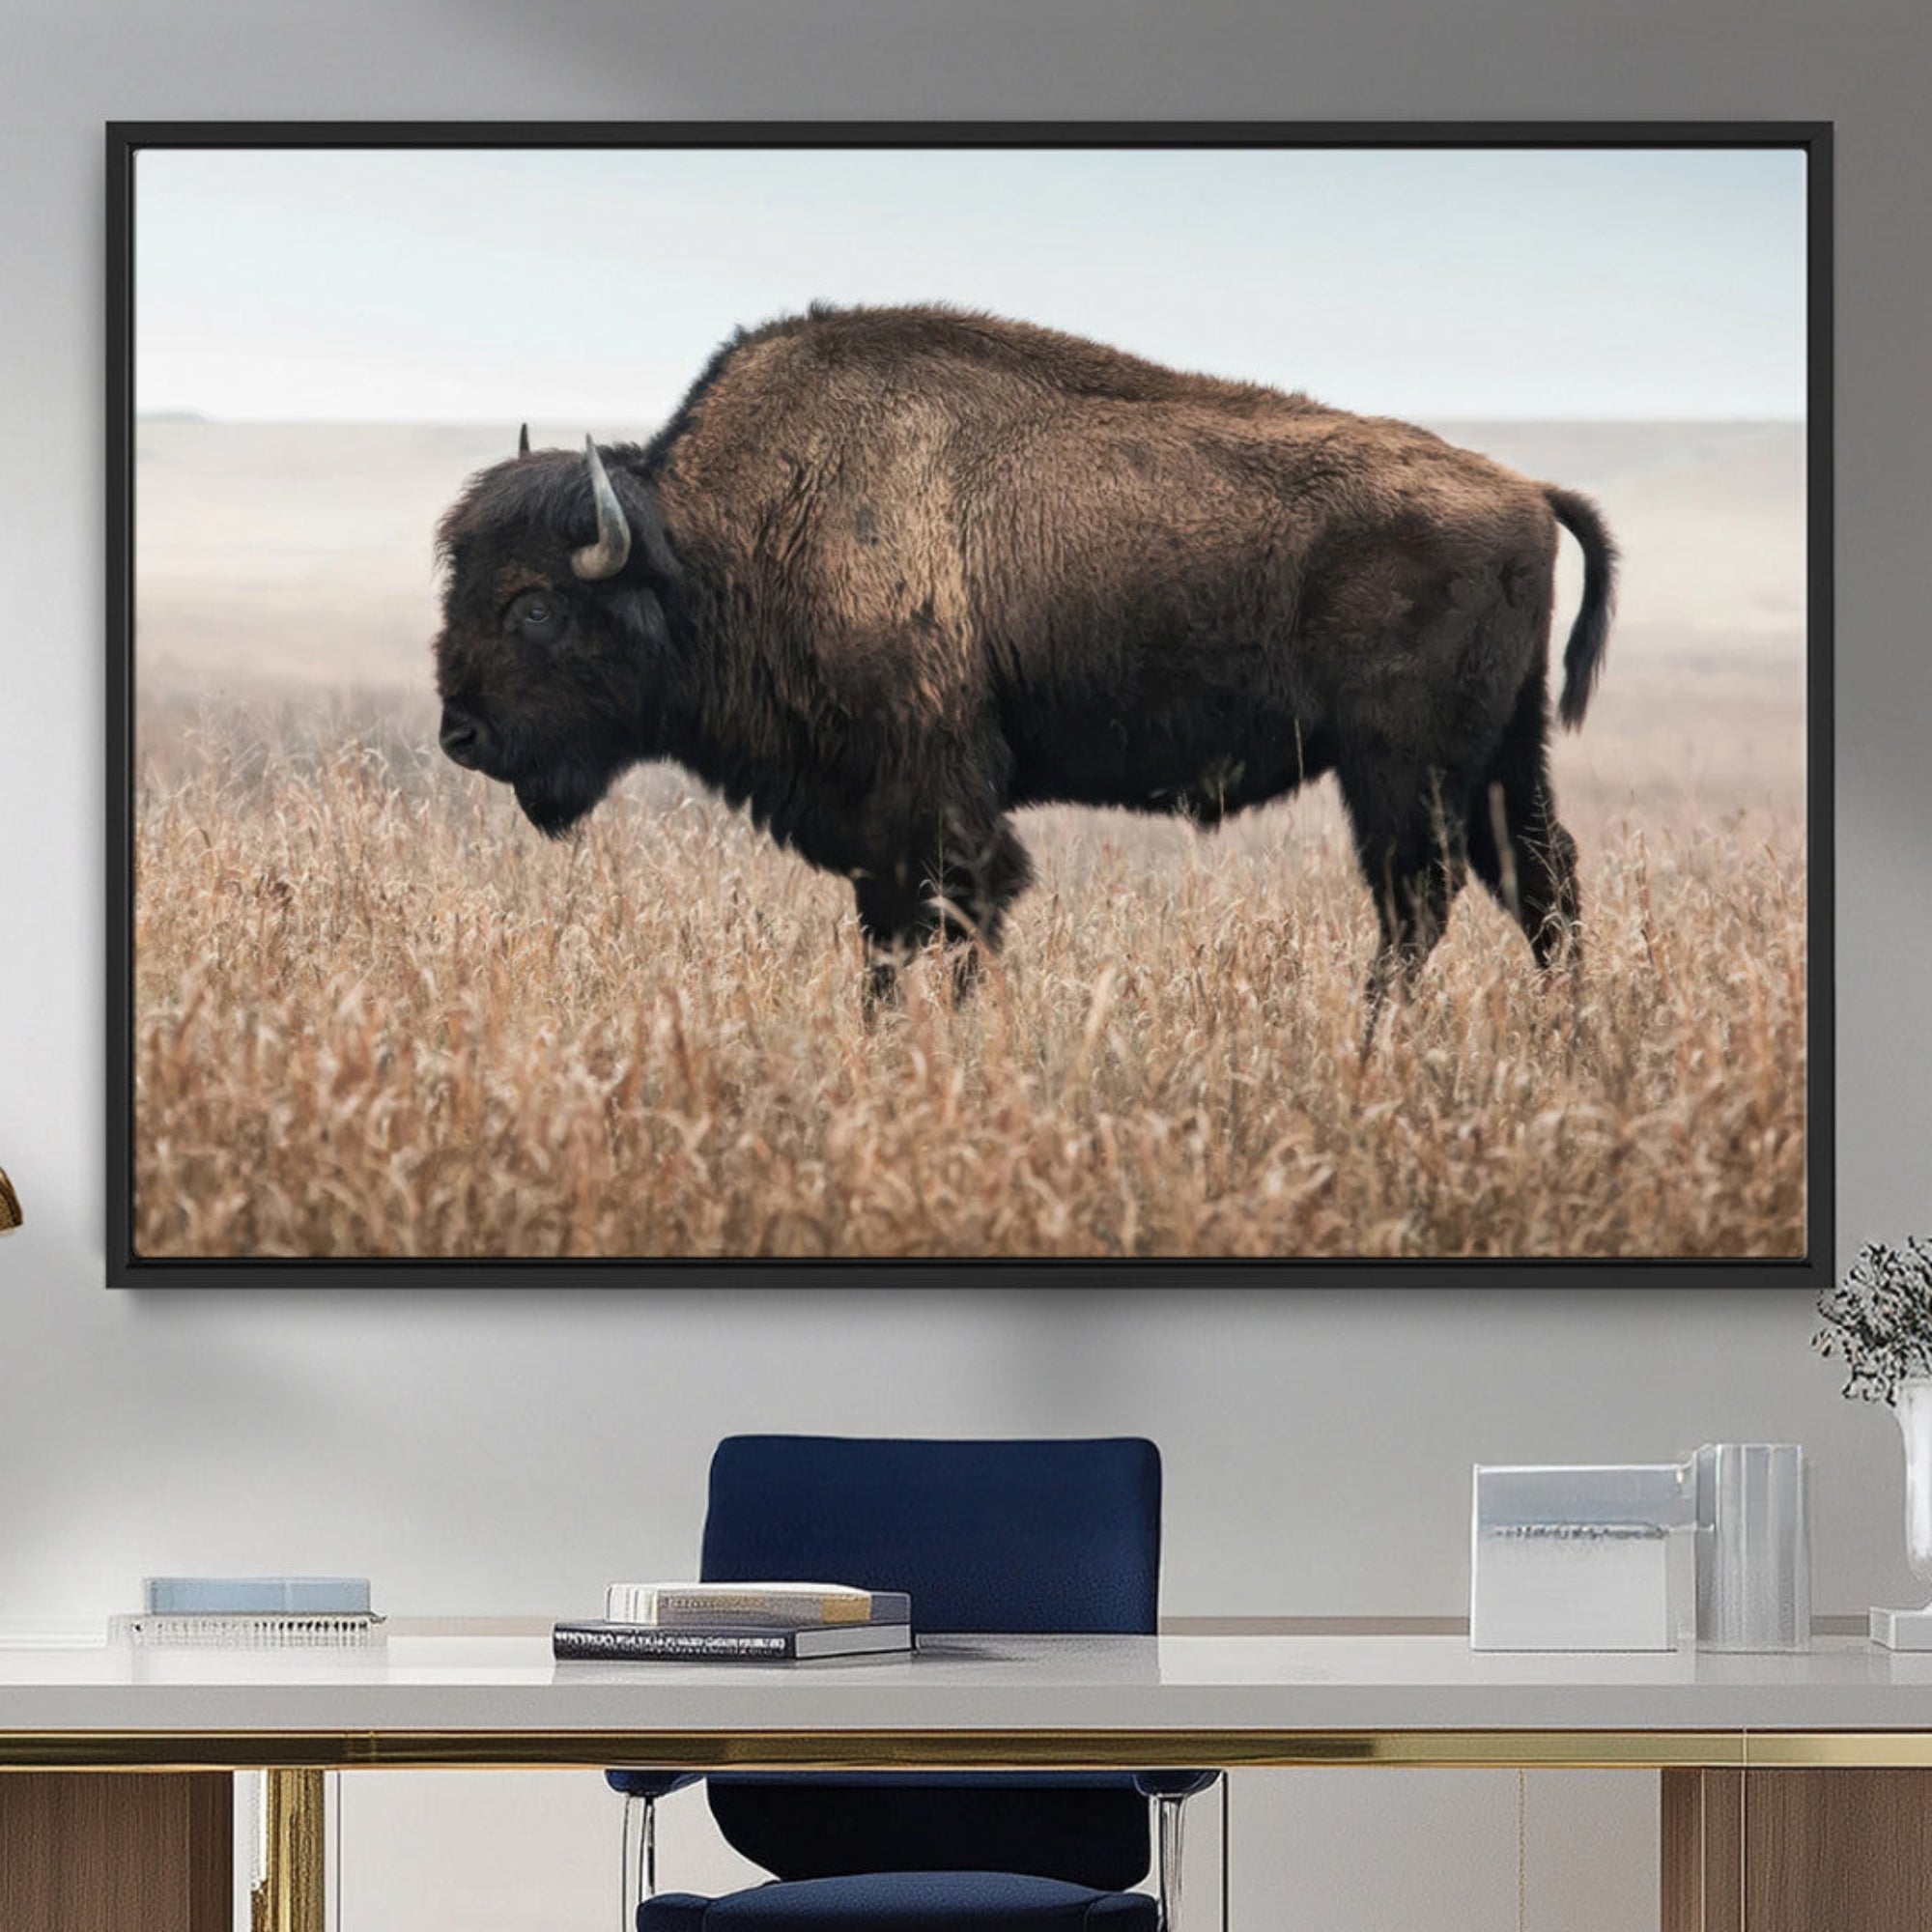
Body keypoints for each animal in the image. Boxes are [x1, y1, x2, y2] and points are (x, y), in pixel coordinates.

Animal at [433, 304, 1614, 1017]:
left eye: (534, 606)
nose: (459, 734)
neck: (718, 541)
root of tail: (1523, 489)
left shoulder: (936, 801)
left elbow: (955, 916)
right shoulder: (877, 825)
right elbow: (888, 937)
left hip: (1400, 767)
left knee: (1419, 899)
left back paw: (1373, 1044)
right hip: (1501, 757)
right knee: (1539, 883)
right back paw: (1563, 1041)